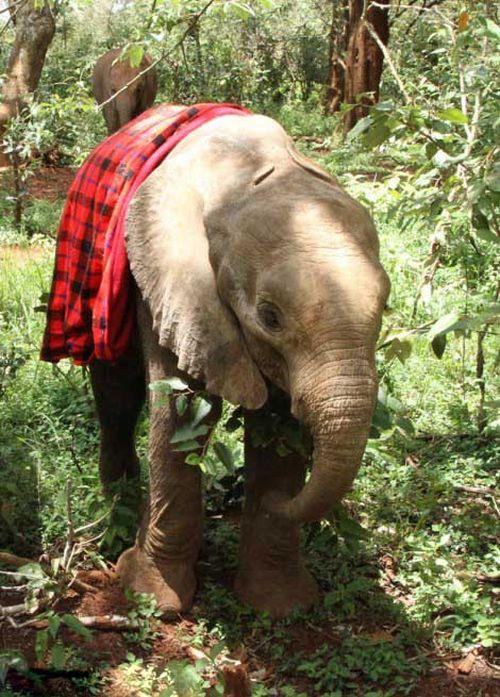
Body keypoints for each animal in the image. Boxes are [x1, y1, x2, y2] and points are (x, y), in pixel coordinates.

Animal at [89, 112, 390, 619]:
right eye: (269, 316)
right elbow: (179, 414)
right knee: (117, 390)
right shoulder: (169, 278)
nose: (280, 501)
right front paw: (151, 597)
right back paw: (118, 500)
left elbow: (280, 433)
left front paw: (281, 605)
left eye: (385, 309)